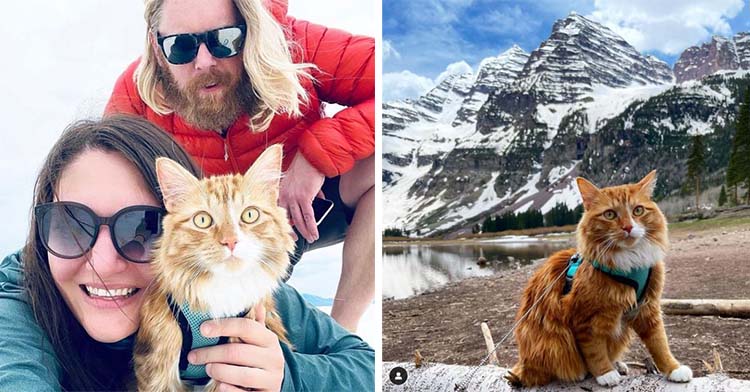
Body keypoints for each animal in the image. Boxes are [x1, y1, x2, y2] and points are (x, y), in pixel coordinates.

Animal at [508, 171, 696, 386]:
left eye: (638, 210)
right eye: (610, 214)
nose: (628, 227)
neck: (630, 263)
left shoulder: (648, 309)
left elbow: (660, 344)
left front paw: (674, 368)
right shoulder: (584, 319)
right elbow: (595, 351)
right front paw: (605, 373)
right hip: (552, 344)